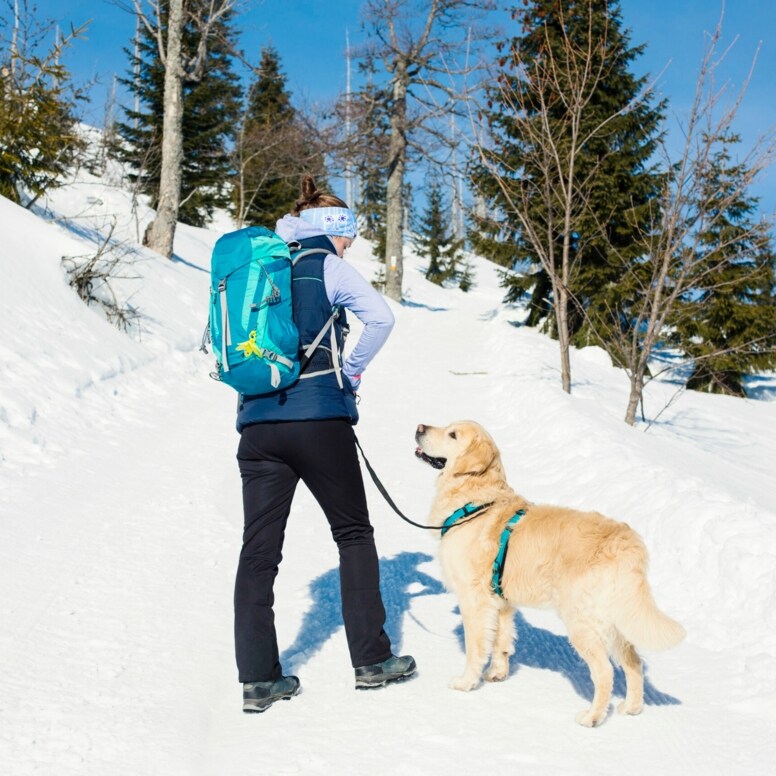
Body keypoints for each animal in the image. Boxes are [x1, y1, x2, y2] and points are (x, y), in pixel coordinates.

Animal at [416, 418, 684, 728]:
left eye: (452, 435)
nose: (419, 427)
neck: (476, 501)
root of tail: (625, 541)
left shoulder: (474, 600)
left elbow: (476, 647)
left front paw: (466, 682)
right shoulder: (501, 601)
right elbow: (501, 640)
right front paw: (497, 673)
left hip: (581, 621)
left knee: (605, 671)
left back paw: (592, 717)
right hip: (615, 619)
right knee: (633, 662)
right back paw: (632, 707)